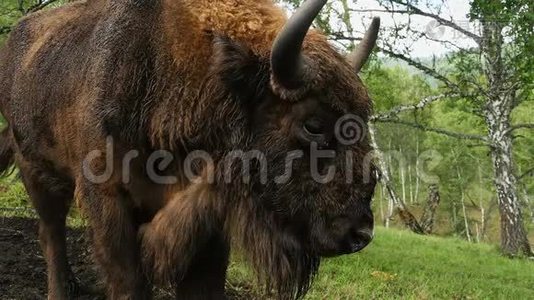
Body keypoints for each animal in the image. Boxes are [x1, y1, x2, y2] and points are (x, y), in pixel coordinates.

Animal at [0, 0, 382, 298]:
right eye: (312, 124)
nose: (360, 234)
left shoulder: (208, 218)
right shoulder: (106, 201)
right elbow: (129, 284)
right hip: (37, 171)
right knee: (51, 233)